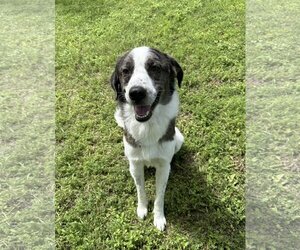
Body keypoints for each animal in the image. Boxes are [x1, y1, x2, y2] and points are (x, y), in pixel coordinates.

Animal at [110, 46, 184, 230]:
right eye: (125, 71)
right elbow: (140, 189)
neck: (147, 125)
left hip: (179, 138)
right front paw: (142, 208)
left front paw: (158, 217)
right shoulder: (136, 164)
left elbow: (160, 195)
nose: (136, 93)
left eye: (154, 67)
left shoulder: (163, 166)